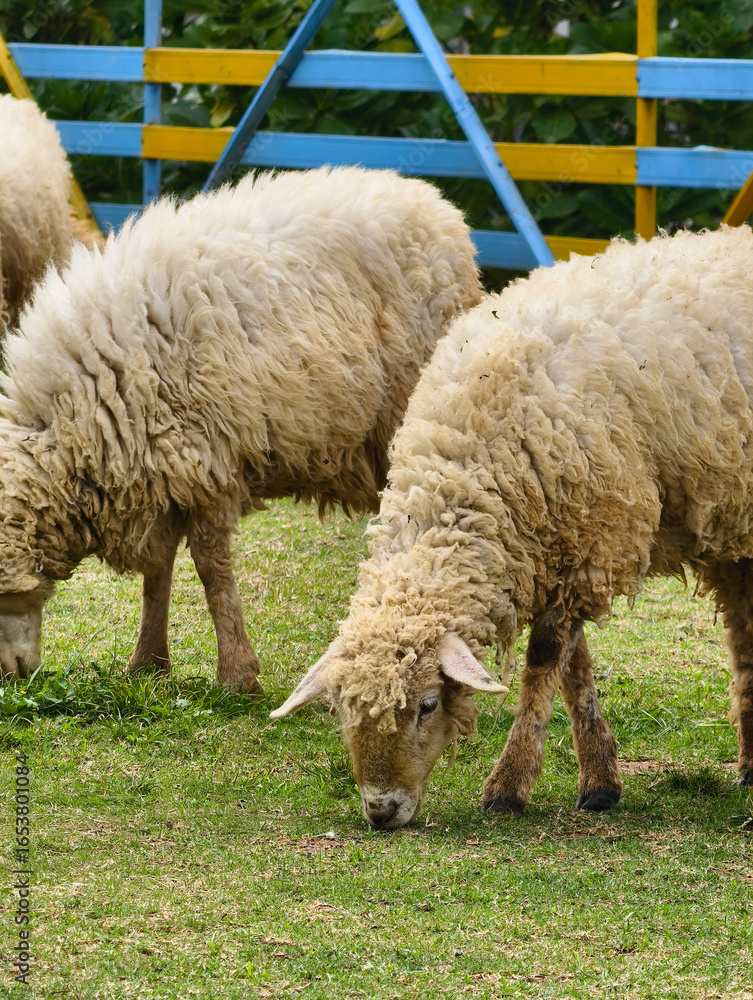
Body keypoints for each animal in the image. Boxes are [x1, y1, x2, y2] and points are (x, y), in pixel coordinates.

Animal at [0, 165, 482, 692]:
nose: (11, 677)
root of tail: (437, 206)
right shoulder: (161, 474)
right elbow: (158, 573)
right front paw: (148, 662)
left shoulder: (207, 461)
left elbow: (211, 570)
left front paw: (237, 674)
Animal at [272, 224, 753, 829]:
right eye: (341, 710)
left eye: (428, 704)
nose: (382, 810)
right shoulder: (557, 546)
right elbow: (575, 667)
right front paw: (600, 780)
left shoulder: (590, 542)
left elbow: (545, 658)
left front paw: (509, 784)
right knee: (743, 629)